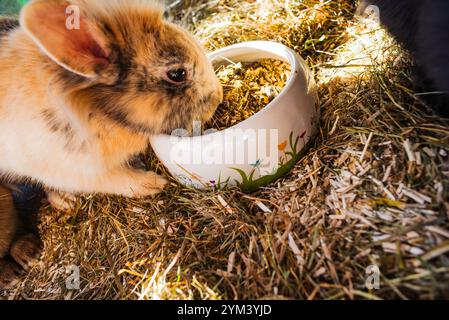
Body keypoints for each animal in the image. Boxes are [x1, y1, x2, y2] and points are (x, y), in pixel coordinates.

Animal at [0, 0, 223, 200]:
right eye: (177, 74)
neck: (98, 111)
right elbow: (115, 179)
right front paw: (153, 184)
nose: (219, 97)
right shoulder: (72, 170)